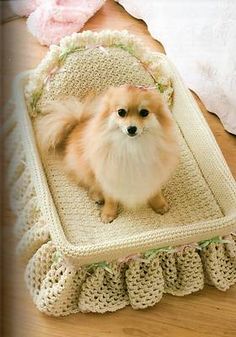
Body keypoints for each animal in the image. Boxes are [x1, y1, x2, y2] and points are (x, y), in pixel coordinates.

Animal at [35, 83, 179, 223]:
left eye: (144, 112)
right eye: (121, 112)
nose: (131, 128)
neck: (132, 146)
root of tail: (77, 124)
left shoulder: (153, 172)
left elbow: (154, 191)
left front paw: (160, 205)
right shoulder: (108, 174)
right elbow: (110, 198)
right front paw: (108, 214)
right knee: (89, 184)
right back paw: (98, 196)